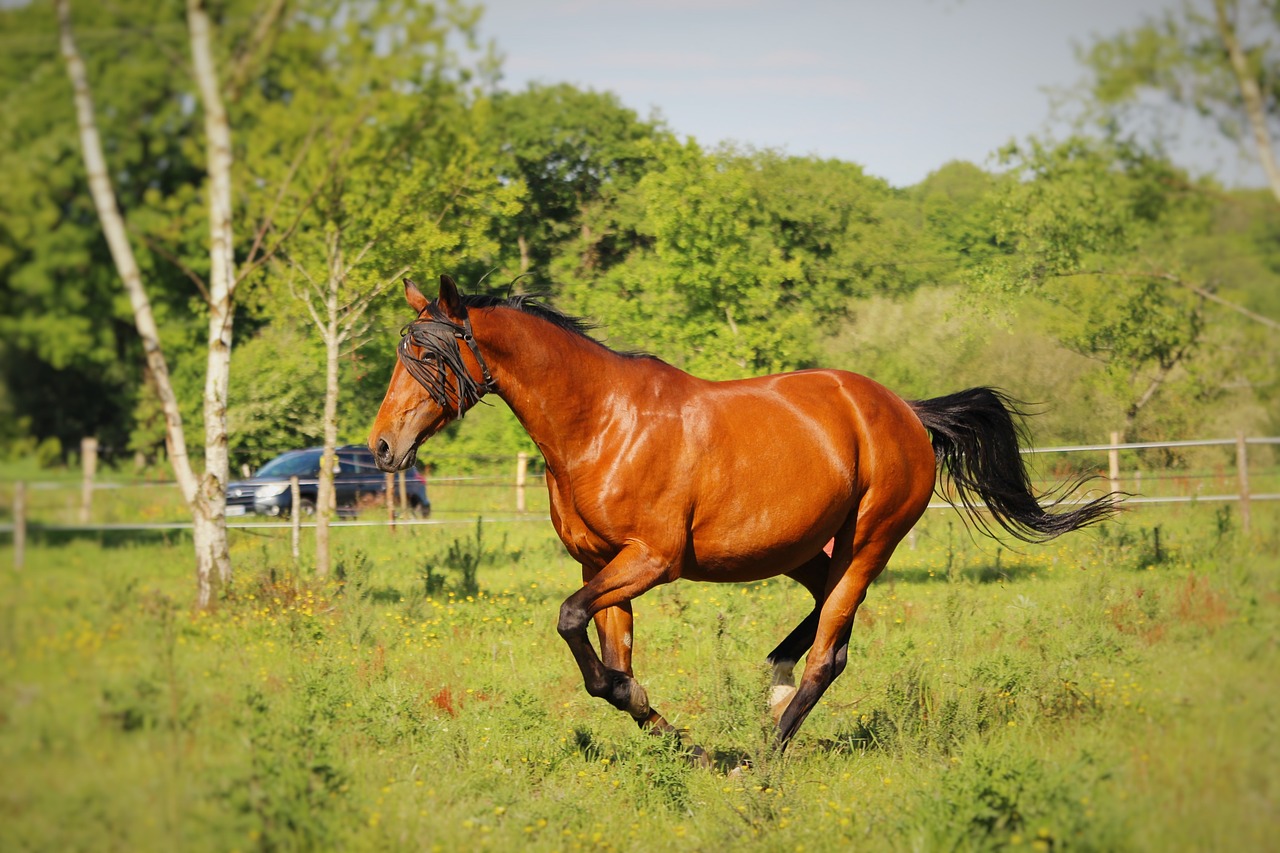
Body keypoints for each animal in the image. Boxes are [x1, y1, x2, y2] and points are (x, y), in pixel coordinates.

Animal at [368, 274, 1111, 753]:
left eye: (429, 354)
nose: (381, 446)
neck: (601, 423)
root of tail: (905, 409)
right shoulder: (601, 564)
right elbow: (609, 666)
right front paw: (669, 730)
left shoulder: (652, 560)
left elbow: (572, 624)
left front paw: (688, 741)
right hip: (807, 548)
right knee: (825, 613)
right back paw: (773, 686)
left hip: (871, 539)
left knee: (831, 652)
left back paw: (764, 754)